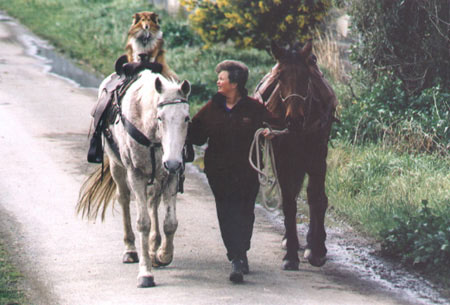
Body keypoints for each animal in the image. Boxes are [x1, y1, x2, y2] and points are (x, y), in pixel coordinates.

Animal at [256, 39, 338, 268]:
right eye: (280, 78)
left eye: (306, 77)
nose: (294, 119)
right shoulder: (283, 160)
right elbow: (289, 201)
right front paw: (291, 253)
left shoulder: (317, 158)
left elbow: (316, 198)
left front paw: (317, 250)